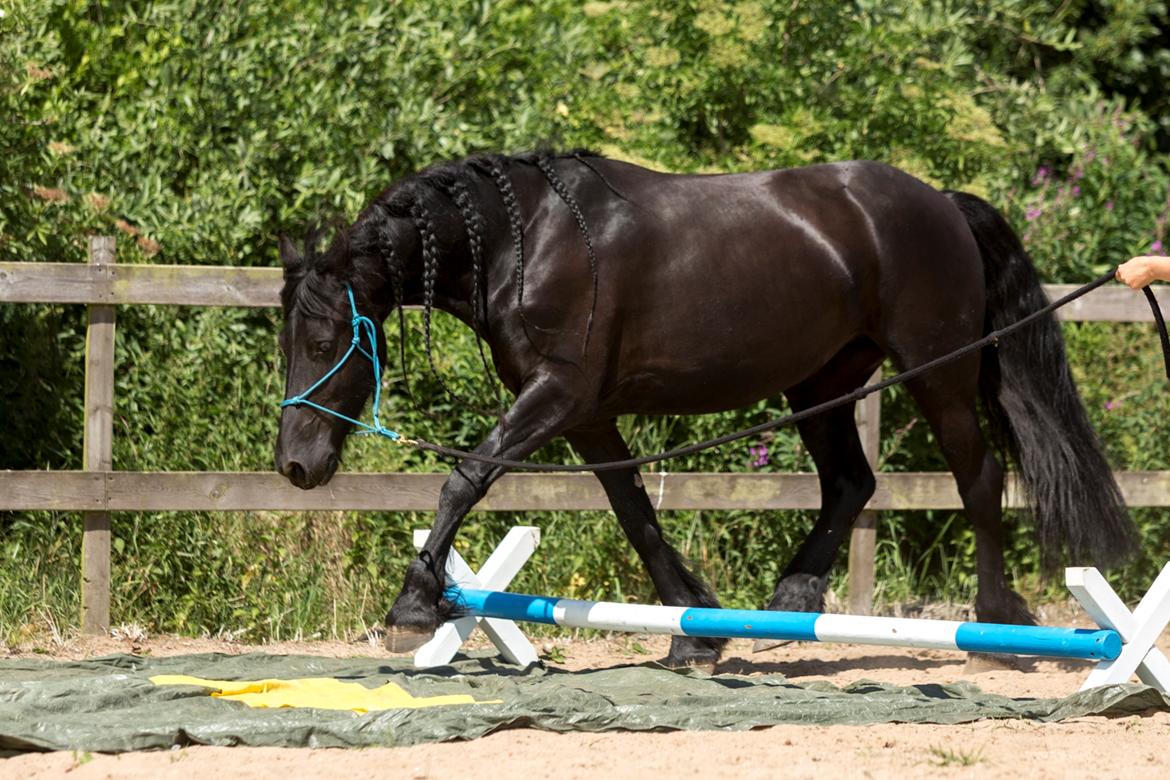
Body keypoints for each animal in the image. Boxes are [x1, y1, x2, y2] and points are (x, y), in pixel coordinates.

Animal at [273, 150, 1132, 664]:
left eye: (322, 341)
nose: (296, 465)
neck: (532, 242)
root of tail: (943, 204)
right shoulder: (587, 415)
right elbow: (635, 513)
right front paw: (696, 630)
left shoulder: (557, 397)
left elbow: (466, 479)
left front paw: (414, 604)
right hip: (821, 384)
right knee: (850, 484)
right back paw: (792, 602)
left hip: (936, 372)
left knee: (977, 479)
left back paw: (998, 622)